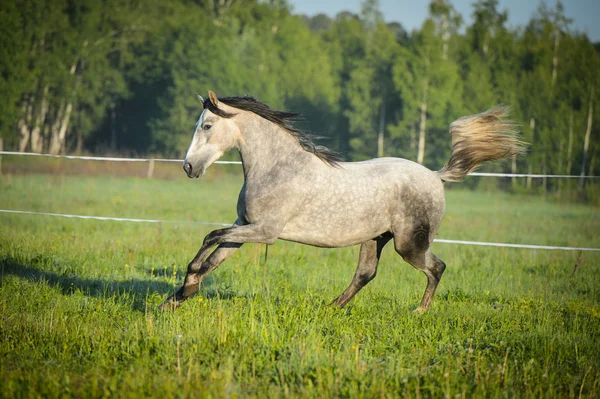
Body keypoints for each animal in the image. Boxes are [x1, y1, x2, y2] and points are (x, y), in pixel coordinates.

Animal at [161, 90, 524, 312]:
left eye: (207, 125)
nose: (189, 167)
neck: (278, 168)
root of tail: (436, 176)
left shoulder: (265, 232)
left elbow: (209, 238)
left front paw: (186, 286)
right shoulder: (245, 226)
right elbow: (214, 256)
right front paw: (176, 298)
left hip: (409, 244)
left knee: (436, 267)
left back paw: (419, 311)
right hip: (375, 238)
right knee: (366, 273)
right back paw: (333, 307)